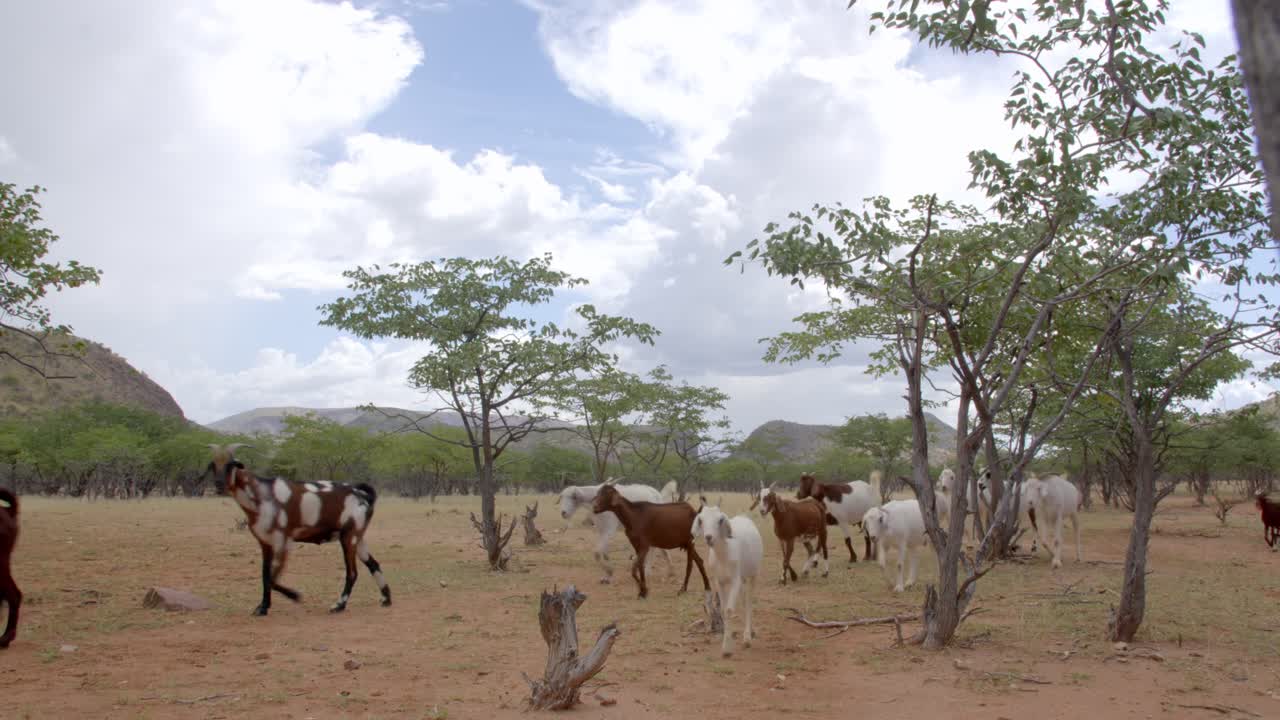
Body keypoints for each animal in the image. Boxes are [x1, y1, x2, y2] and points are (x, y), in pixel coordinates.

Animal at [208, 444, 391, 615]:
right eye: (213, 465)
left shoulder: (283, 542)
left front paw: (294, 596)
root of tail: (362, 494)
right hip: (358, 539)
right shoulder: (265, 544)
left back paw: (339, 605)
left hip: (349, 538)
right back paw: (386, 598)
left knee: (352, 573)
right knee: (373, 564)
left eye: (231, 465)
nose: (219, 484)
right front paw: (263, 607)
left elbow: (272, 579)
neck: (262, 494)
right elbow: (265, 575)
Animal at [691, 501, 763, 657]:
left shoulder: (735, 580)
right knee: (744, 600)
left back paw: (748, 637)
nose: (709, 537)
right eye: (701, 520)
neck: (724, 554)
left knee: (749, 601)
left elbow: (729, 610)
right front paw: (726, 645)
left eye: (720, 520)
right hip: (742, 578)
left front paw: (727, 649)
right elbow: (724, 611)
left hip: (753, 574)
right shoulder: (720, 582)